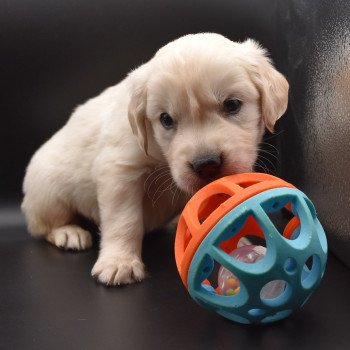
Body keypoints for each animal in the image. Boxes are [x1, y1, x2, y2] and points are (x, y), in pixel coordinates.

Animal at [22, 32, 290, 284]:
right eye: (166, 119)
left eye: (232, 104)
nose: (206, 164)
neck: (162, 156)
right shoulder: (119, 171)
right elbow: (124, 221)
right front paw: (119, 263)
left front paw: (236, 242)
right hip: (47, 191)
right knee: (43, 225)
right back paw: (68, 233)